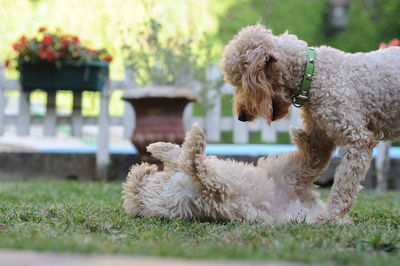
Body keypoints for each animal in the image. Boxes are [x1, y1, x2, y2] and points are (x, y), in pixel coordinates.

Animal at [122, 124, 350, 224]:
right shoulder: (211, 192)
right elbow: (194, 164)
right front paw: (194, 138)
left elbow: (181, 159)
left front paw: (157, 146)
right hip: (287, 174)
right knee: (314, 158)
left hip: (282, 170)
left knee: (315, 156)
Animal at [222, 23, 400, 222]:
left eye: (241, 82)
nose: (241, 116)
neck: (313, 74)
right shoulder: (318, 139)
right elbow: (305, 164)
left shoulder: (357, 140)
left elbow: (344, 183)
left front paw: (332, 216)